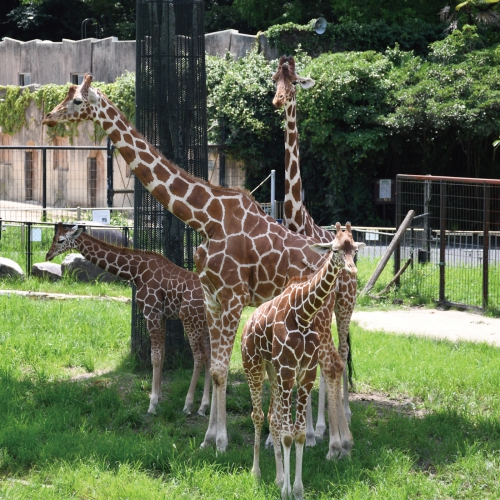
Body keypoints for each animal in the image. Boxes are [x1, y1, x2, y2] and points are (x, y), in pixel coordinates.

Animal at [45, 222, 211, 416]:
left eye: (60, 240)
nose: (48, 255)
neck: (135, 271)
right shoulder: (161, 315)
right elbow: (161, 355)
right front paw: (159, 397)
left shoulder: (151, 312)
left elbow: (155, 357)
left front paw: (152, 404)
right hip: (204, 323)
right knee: (210, 356)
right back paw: (203, 406)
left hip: (190, 319)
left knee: (199, 356)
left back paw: (188, 405)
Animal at [241, 240, 351, 500]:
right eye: (335, 249)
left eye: (353, 248)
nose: (350, 269)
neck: (303, 314)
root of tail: (247, 324)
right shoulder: (288, 371)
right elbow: (288, 434)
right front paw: (286, 491)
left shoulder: (305, 373)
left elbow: (297, 433)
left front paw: (296, 489)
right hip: (253, 366)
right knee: (258, 416)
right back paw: (256, 473)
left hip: (272, 372)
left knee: (272, 418)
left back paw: (279, 477)